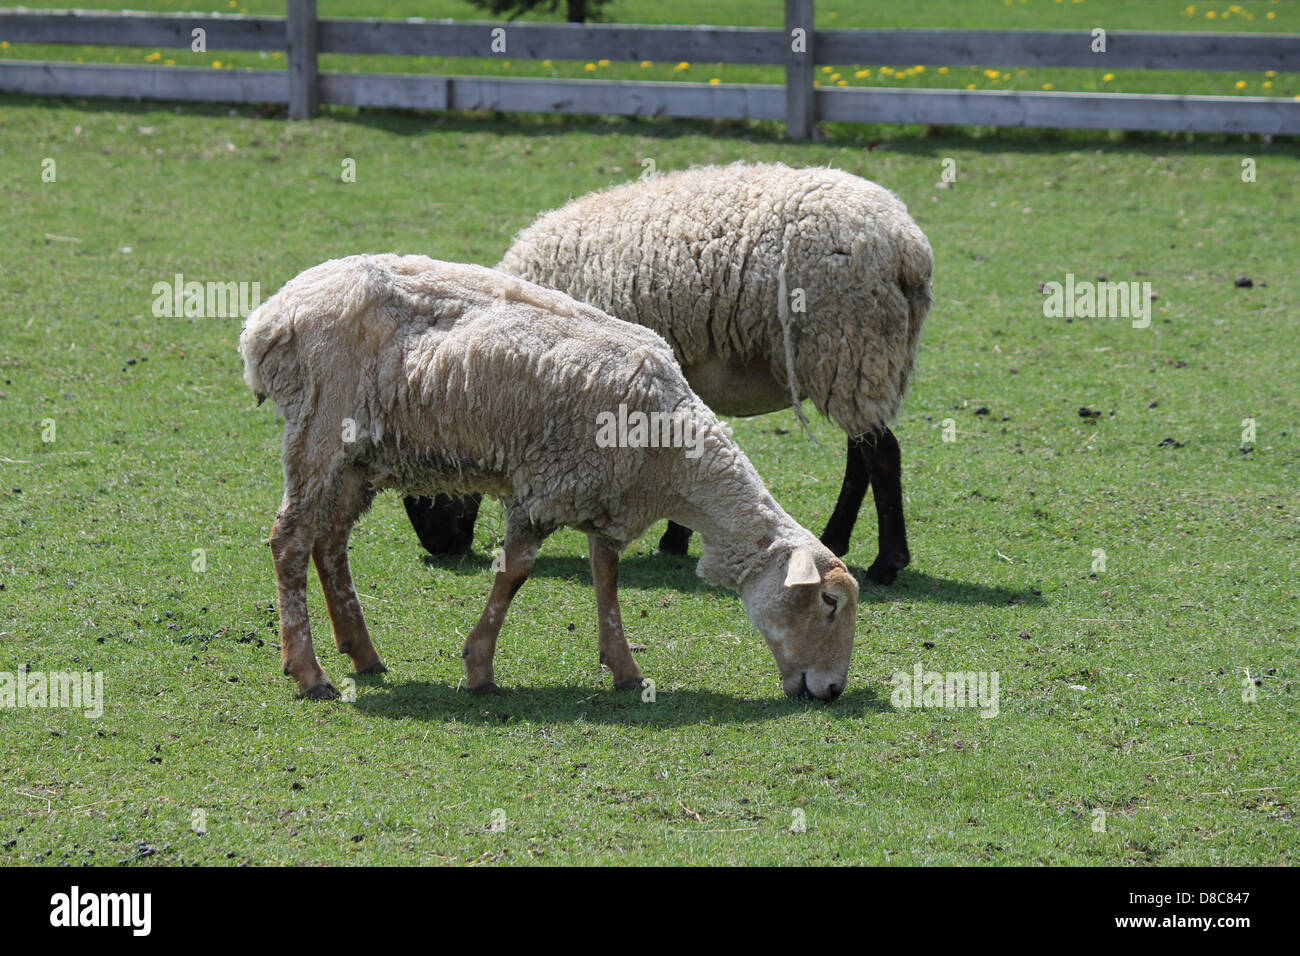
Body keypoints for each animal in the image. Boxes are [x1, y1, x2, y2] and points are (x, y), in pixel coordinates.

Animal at [239, 254, 859, 701]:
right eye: (828, 602)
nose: (832, 690)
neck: (672, 460)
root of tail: (268, 317)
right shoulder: (546, 487)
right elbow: (514, 574)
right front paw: (480, 669)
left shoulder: (605, 495)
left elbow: (606, 577)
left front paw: (625, 668)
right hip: (320, 430)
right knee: (289, 540)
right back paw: (309, 672)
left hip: (358, 459)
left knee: (330, 542)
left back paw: (363, 654)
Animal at [403, 162, 934, 585]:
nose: (441, 549)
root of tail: (907, 245)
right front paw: (675, 541)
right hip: (859, 359)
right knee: (861, 454)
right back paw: (836, 539)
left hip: (849, 346)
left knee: (881, 454)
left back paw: (887, 564)